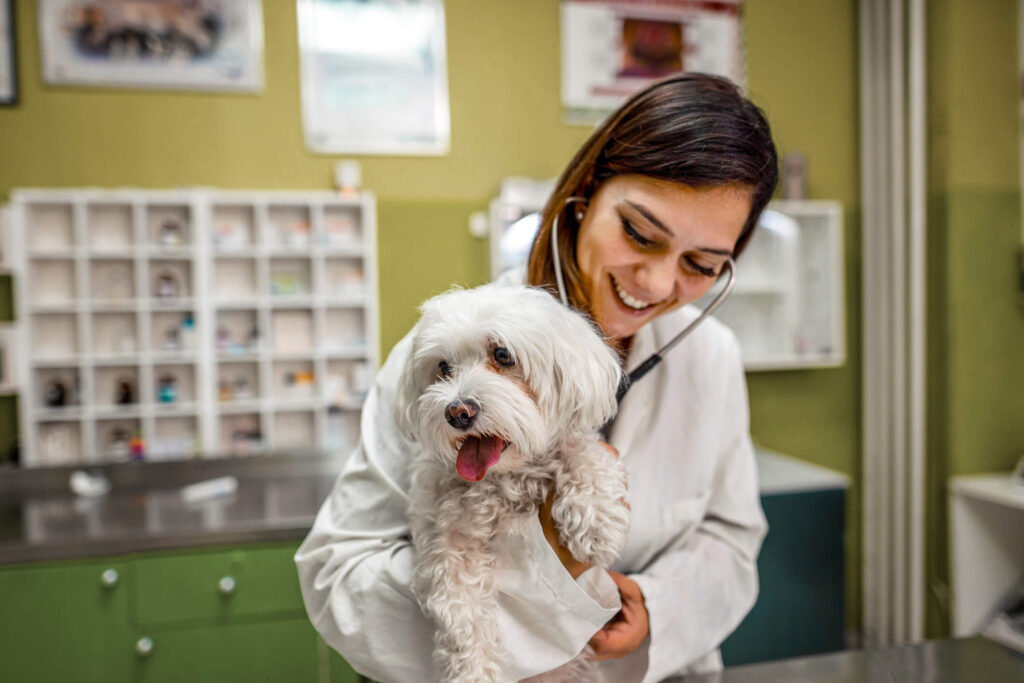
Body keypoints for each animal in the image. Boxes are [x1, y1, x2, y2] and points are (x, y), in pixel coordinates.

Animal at [393, 286, 626, 683]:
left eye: (502, 354)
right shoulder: (448, 541)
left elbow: (584, 453)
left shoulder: (570, 446)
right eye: (443, 367)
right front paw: (474, 672)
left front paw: (595, 520)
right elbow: (463, 614)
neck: (503, 480)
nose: (457, 411)